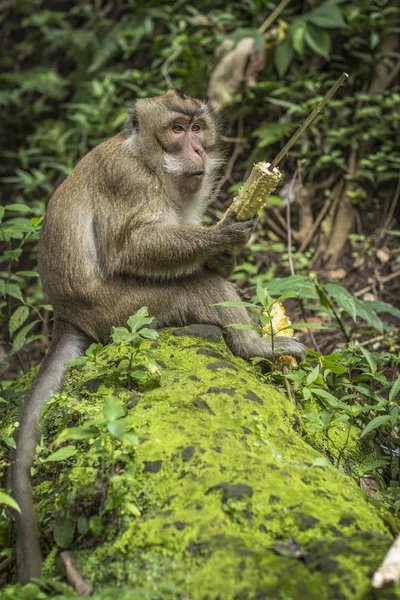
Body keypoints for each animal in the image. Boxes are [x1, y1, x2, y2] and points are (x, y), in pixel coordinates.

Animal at [10, 90, 306, 584]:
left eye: (198, 127)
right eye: (176, 130)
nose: (199, 150)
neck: (151, 162)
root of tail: (66, 315)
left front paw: (226, 250)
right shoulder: (127, 181)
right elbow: (133, 246)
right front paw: (223, 232)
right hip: (120, 309)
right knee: (195, 286)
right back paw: (255, 348)